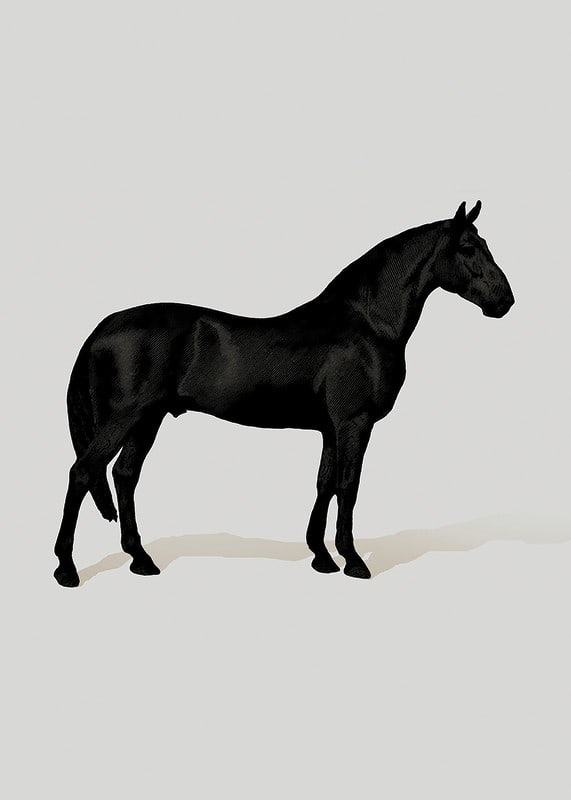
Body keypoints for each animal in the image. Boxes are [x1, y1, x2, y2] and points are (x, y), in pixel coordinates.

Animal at [54, 200, 515, 587]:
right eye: (469, 247)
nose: (505, 300)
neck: (367, 324)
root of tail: (103, 327)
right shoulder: (354, 423)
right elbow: (348, 486)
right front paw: (353, 561)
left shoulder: (330, 428)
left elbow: (324, 484)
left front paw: (322, 558)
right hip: (124, 418)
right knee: (83, 473)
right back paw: (66, 569)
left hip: (147, 420)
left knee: (124, 476)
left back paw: (141, 560)